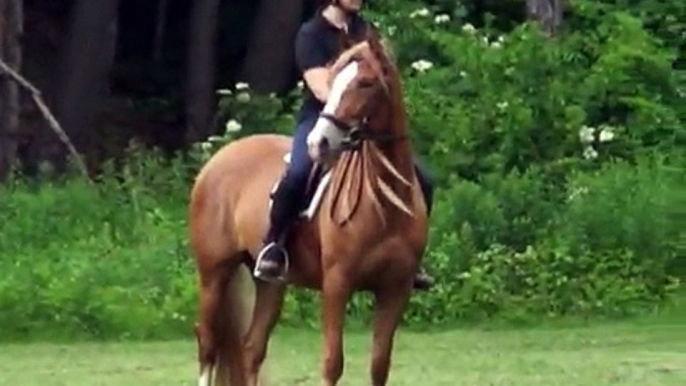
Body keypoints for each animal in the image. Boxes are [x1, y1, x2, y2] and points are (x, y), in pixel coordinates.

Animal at [188, 25, 430, 384]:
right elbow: (332, 362)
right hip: (214, 274)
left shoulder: (395, 289)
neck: (384, 207)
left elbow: (379, 364)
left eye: (366, 82)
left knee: (251, 350)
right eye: (333, 78)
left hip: (269, 283)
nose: (319, 143)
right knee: (208, 344)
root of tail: (217, 159)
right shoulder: (337, 284)